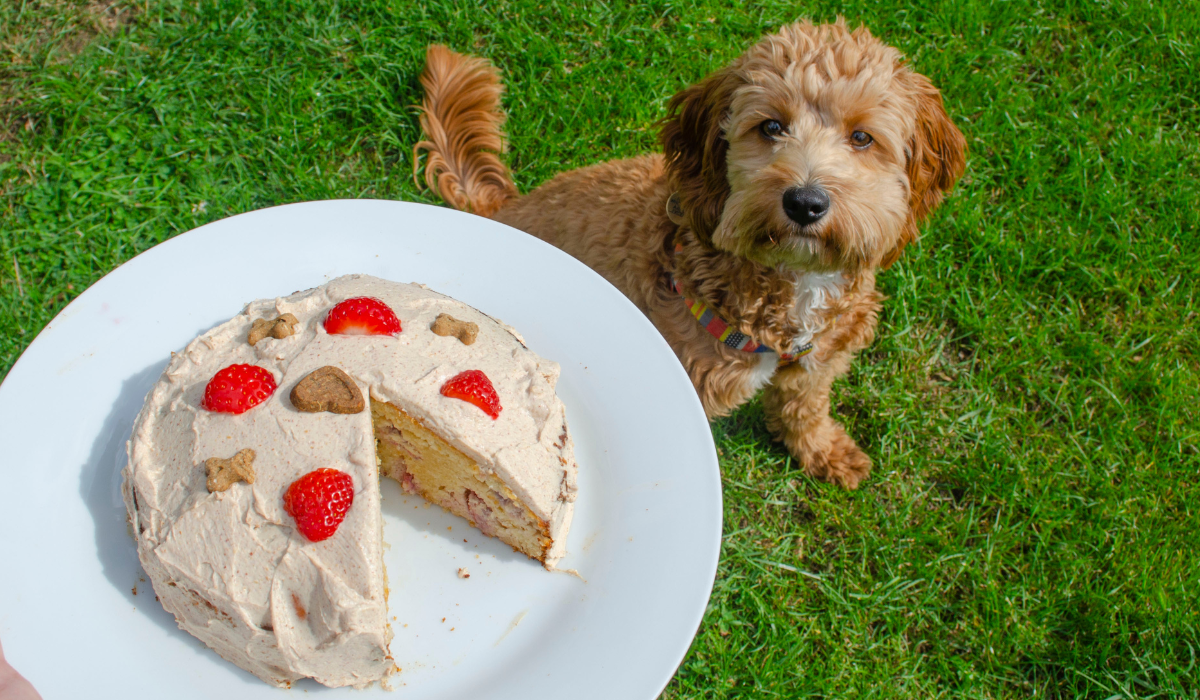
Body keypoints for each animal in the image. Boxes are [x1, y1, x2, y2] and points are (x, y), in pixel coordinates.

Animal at [412, 16, 964, 487]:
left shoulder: (821, 357)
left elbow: (804, 407)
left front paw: (824, 451)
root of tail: (508, 208)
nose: (805, 203)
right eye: (770, 126)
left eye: (862, 137)